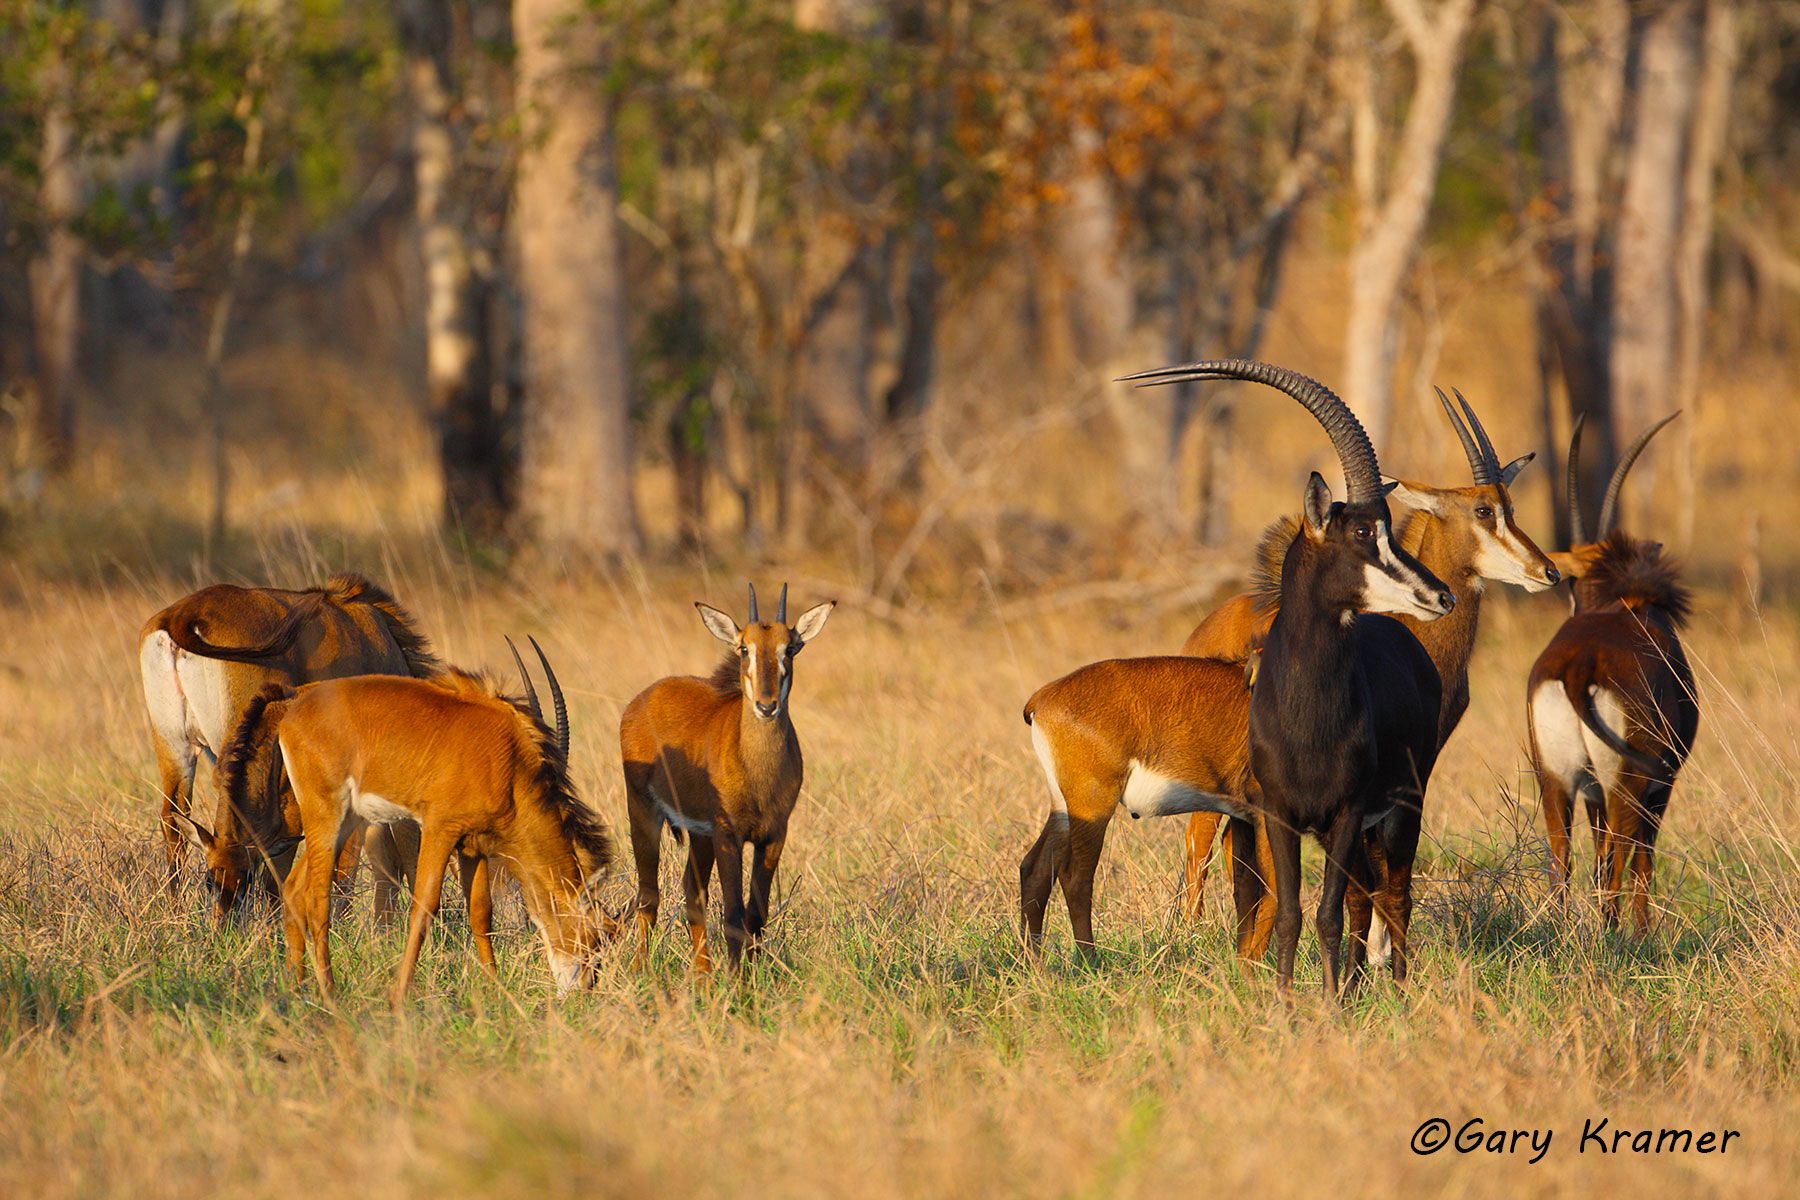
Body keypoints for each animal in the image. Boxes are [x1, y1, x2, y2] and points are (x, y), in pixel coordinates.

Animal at [275, 642, 612, 1003]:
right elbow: (423, 907)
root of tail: (293, 712)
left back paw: (296, 987)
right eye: (597, 935)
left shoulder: (472, 845)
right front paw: (399, 996)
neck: (509, 763)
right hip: (327, 815)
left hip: (345, 822)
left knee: (294, 889)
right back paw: (329, 993)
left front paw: (495, 988)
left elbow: (481, 913)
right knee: (317, 898)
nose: (582, 989)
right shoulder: (439, 829)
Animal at [620, 584, 834, 974]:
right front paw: (738, 983)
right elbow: (733, 915)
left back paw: (702, 975)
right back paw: (640, 969)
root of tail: (640, 701)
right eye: (744, 648)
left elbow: (756, 915)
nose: (767, 706)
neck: (758, 772)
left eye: (790, 648)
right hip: (642, 812)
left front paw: (753, 976)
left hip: (699, 835)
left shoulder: (773, 836)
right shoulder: (728, 834)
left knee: (693, 892)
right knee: (648, 895)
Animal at [1028, 360, 1452, 994]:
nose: (1440, 595)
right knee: (1074, 877)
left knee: (1034, 869)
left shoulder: (1317, 817)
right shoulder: (1275, 816)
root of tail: (1042, 699)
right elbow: (1281, 906)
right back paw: (1090, 967)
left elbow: (1280, 908)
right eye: (1361, 533)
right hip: (1091, 804)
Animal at [1178, 390, 1560, 969]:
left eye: (1510, 508)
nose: (1548, 572)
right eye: (1482, 510)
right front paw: (1377, 955)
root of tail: (1208, 627)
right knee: (1198, 856)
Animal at [1528, 413, 1697, 931]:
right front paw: (1640, 931)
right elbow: (1643, 857)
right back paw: (1626, 937)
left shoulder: (1589, 792)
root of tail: (1580, 663)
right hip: (1629, 781)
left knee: (1563, 857)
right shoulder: (1663, 782)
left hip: (1556, 779)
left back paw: (1563, 932)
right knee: (1624, 856)